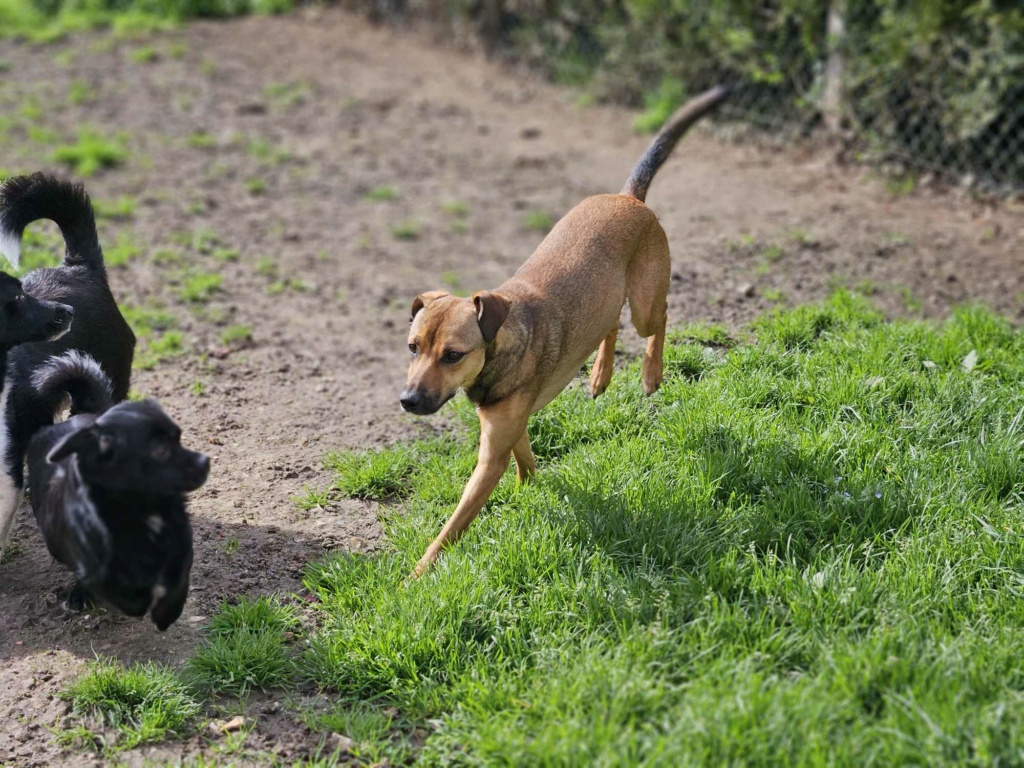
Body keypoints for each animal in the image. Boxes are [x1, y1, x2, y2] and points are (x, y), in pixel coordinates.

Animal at [28, 354, 208, 630]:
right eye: (160, 450)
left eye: (179, 438)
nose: (205, 461)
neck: (143, 509)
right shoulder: (98, 566)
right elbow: (121, 590)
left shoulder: (180, 545)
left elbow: (178, 577)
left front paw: (167, 612)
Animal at [399, 85, 729, 577]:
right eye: (412, 347)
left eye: (453, 355)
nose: (408, 400)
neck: (500, 347)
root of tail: (629, 197)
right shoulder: (506, 429)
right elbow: (526, 461)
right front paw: (529, 488)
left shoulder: (490, 455)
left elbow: (454, 524)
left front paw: (419, 573)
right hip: (608, 297)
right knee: (610, 324)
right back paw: (600, 375)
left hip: (646, 304)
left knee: (661, 318)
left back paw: (651, 373)